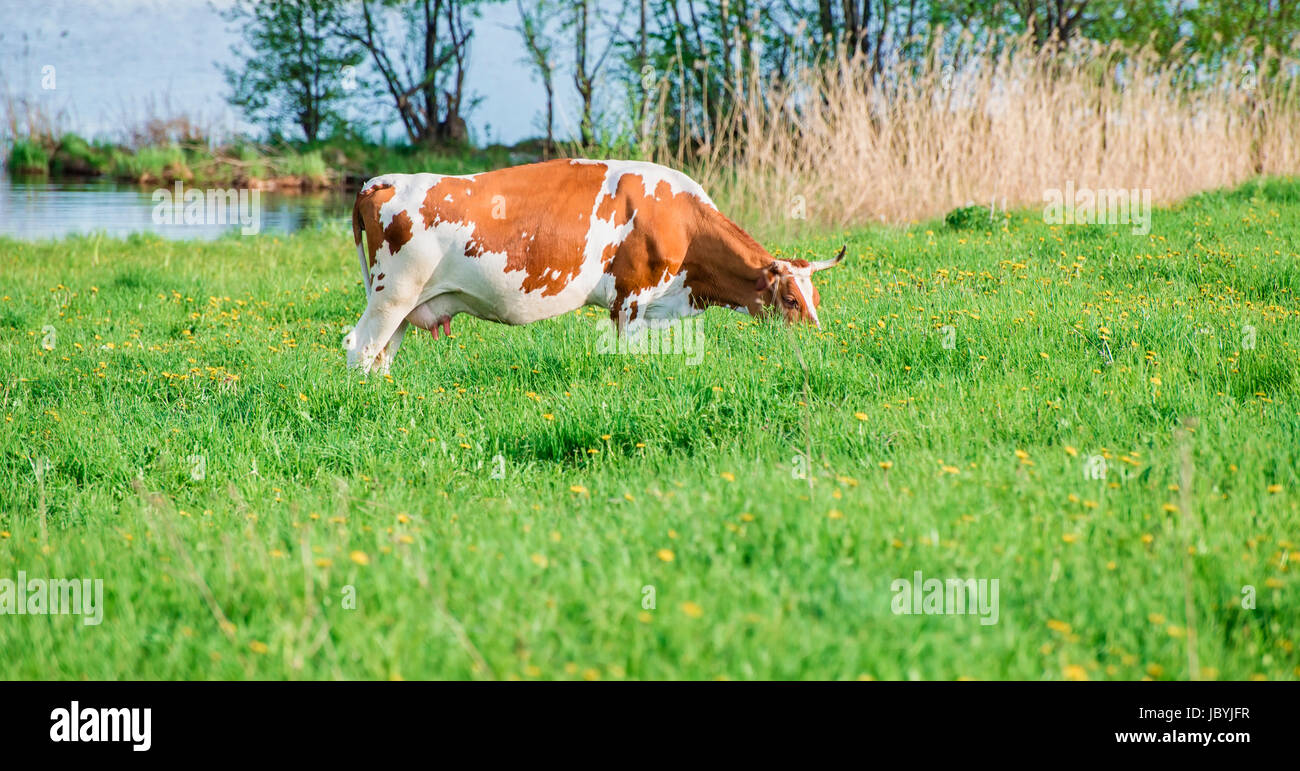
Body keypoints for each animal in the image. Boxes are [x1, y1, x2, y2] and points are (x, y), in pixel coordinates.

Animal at [343, 158, 844, 372]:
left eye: (816, 298)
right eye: (793, 301)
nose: (819, 342)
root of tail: (382, 181)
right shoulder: (629, 299)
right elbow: (625, 356)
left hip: (404, 305)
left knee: (382, 355)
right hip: (392, 295)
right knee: (360, 347)